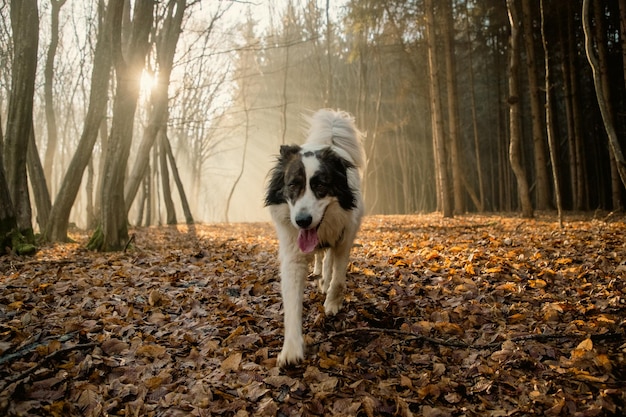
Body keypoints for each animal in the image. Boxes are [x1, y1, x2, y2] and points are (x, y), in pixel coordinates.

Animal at [264, 108, 364, 364]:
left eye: (321, 185)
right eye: (292, 185)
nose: (302, 220)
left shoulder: (344, 238)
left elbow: (338, 278)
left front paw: (332, 303)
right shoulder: (293, 252)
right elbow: (291, 301)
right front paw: (291, 348)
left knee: (328, 261)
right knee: (320, 257)